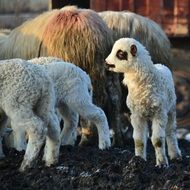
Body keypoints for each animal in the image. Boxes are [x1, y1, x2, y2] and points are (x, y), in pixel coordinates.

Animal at [105, 37, 181, 168]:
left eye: (120, 54)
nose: (106, 63)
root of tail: (160, 65)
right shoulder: (136, 115)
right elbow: (139, 140)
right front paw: (138, 161)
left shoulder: (159, 114)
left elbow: (158, 140)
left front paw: (162, 164)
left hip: (171, 110)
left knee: (171, 132)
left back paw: (175, 155)